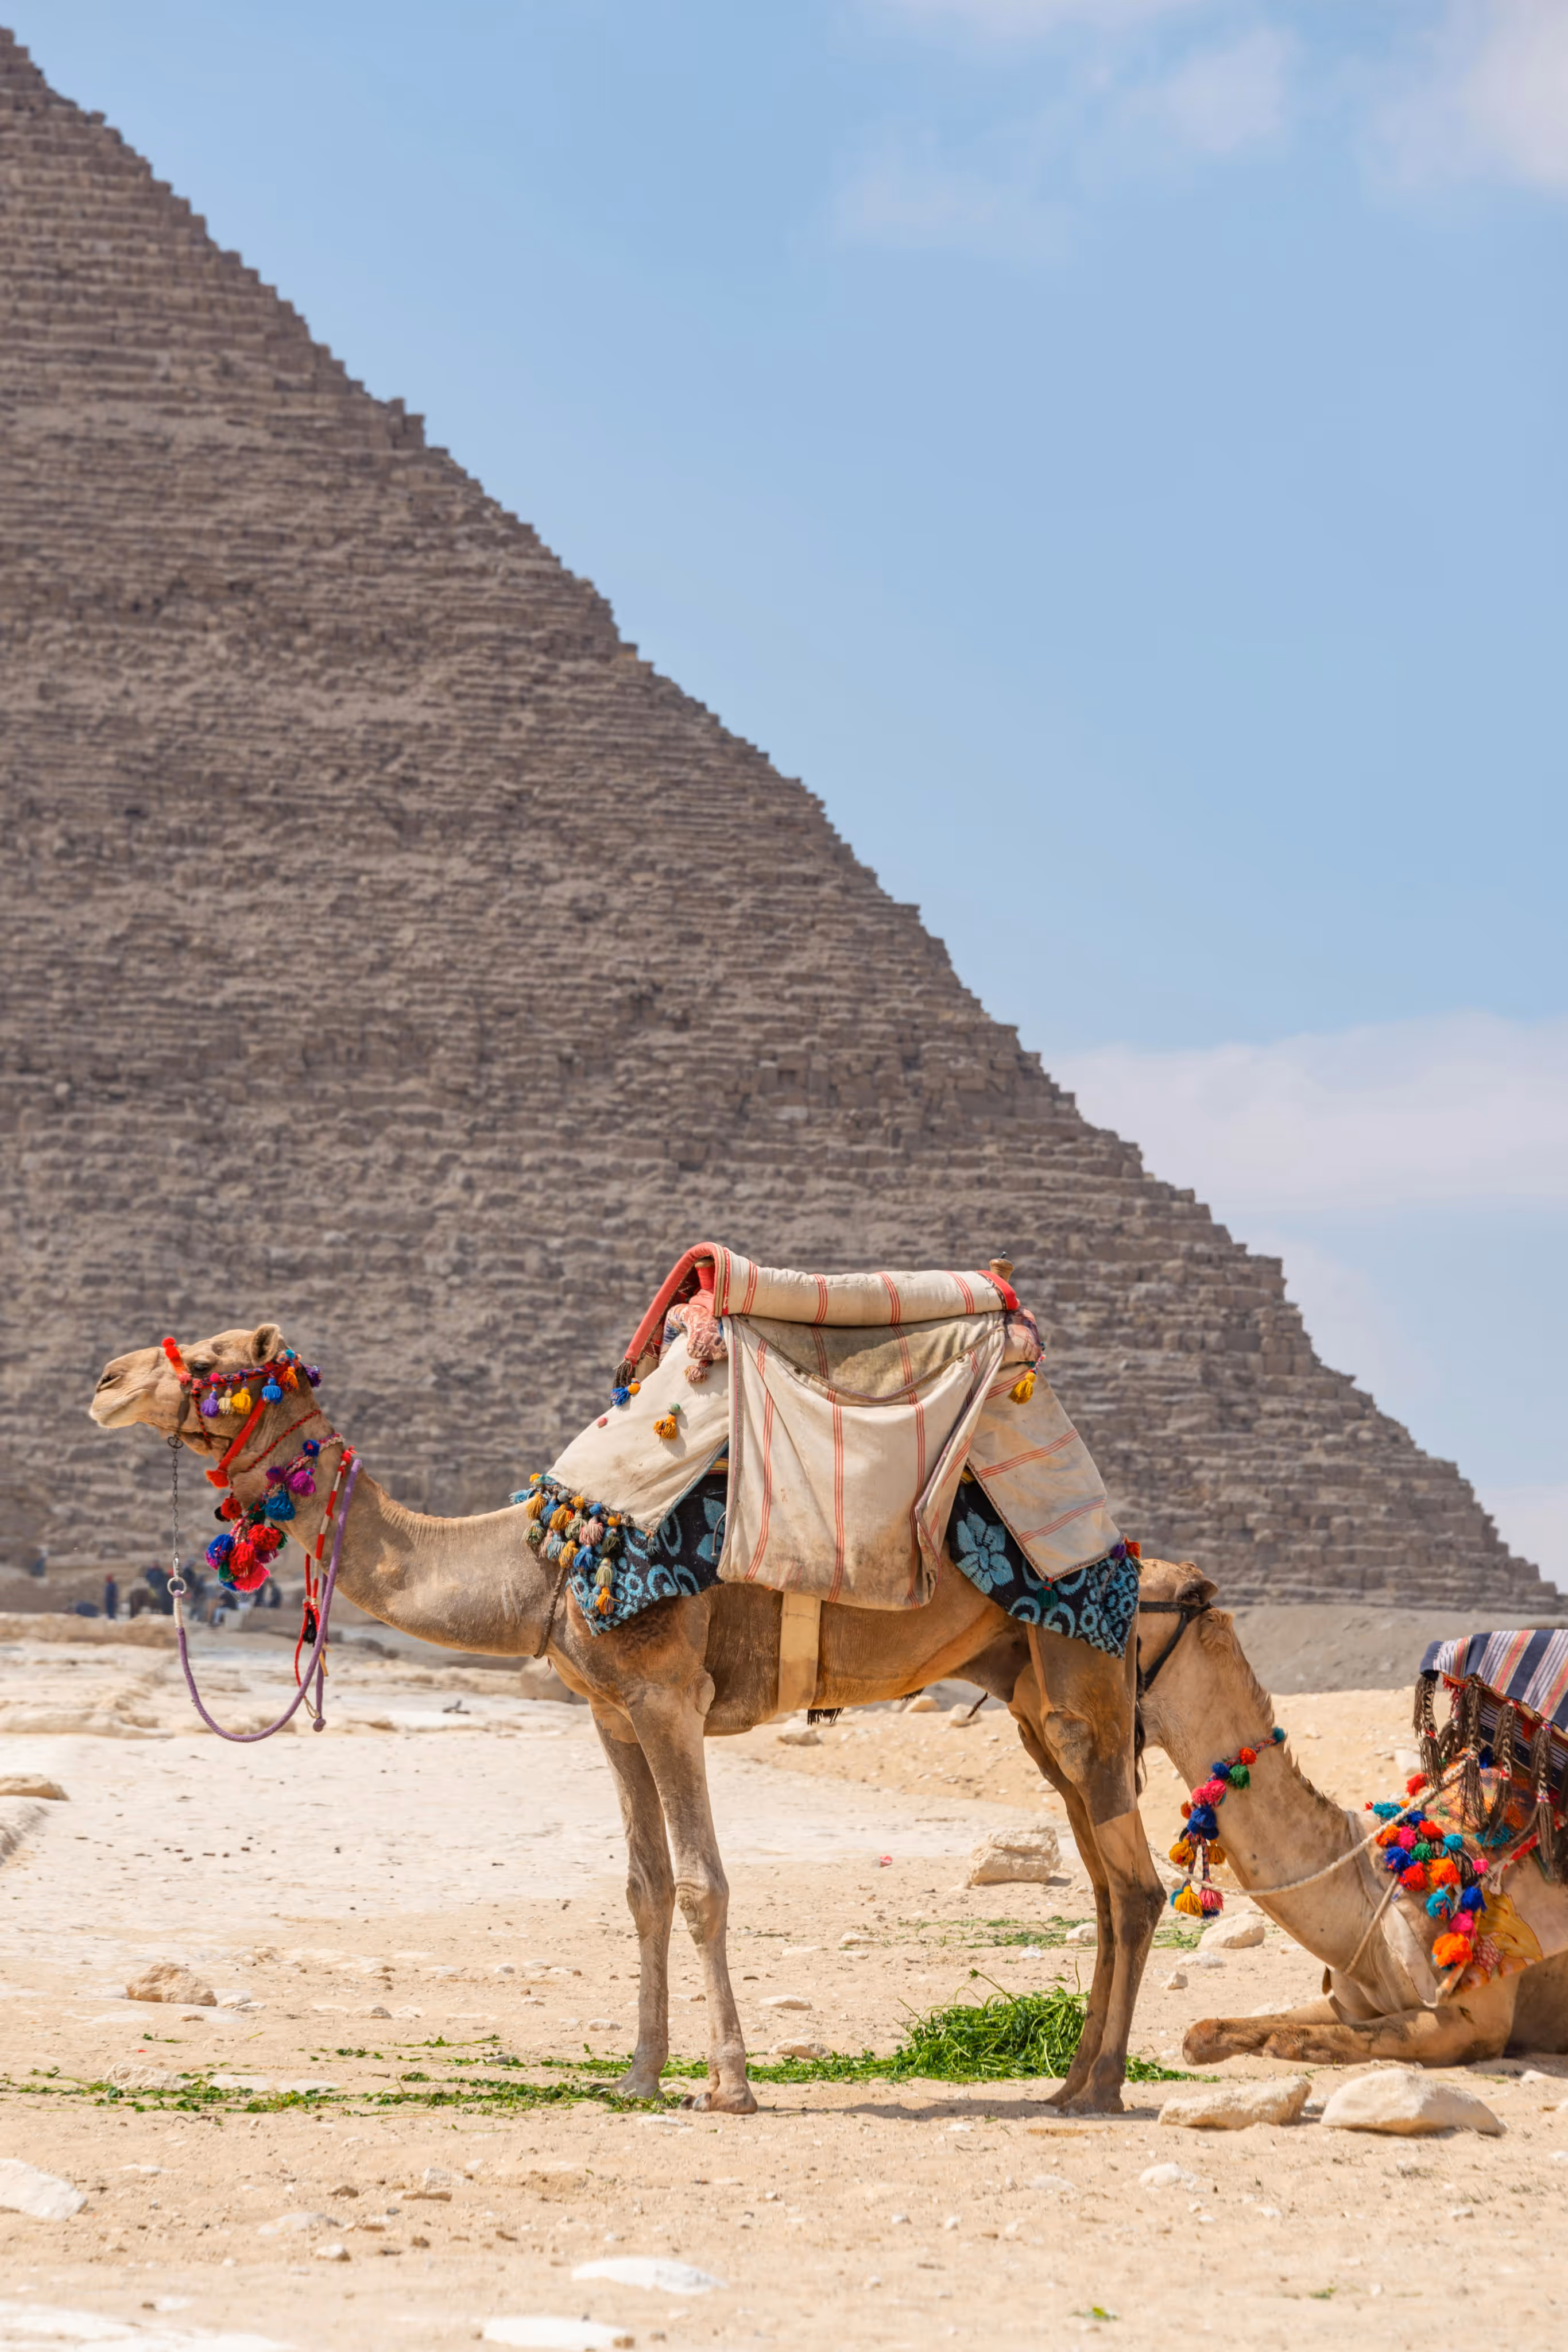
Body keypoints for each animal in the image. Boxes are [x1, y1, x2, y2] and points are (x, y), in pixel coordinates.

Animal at [90, 1318, 1166, 2112]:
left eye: (217, 1361)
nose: (103, 1378)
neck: (537, 1565)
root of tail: (1122, 1543)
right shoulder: (610, 1714)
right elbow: (643, 1891)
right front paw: (639, 2075)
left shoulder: (666, 1697)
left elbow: (700, 1886)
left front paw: (727, 2086)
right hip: (1029, 1701)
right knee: (1103, 1882)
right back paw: (1072, 2080)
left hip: (1080, 1677)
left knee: (1134, 1885)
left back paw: (1100, 2087)